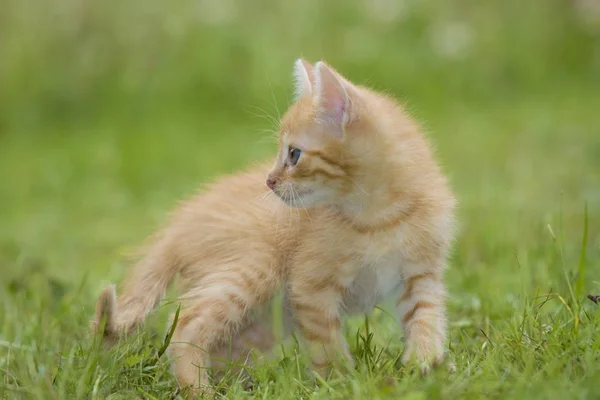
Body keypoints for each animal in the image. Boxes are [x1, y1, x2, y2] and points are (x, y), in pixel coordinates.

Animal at [90, 57, 454, 396]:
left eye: (294, 154)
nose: (269, 180)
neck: (380, 218)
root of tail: (177, 226)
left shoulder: (421, 276)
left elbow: (427, 319)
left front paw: (426, 367)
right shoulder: (309, 289)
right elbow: (326, 345)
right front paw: (341, 384)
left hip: (266, 317)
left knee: (222, 349)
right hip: (254, 270)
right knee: (186, 326)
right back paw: (200, 390)